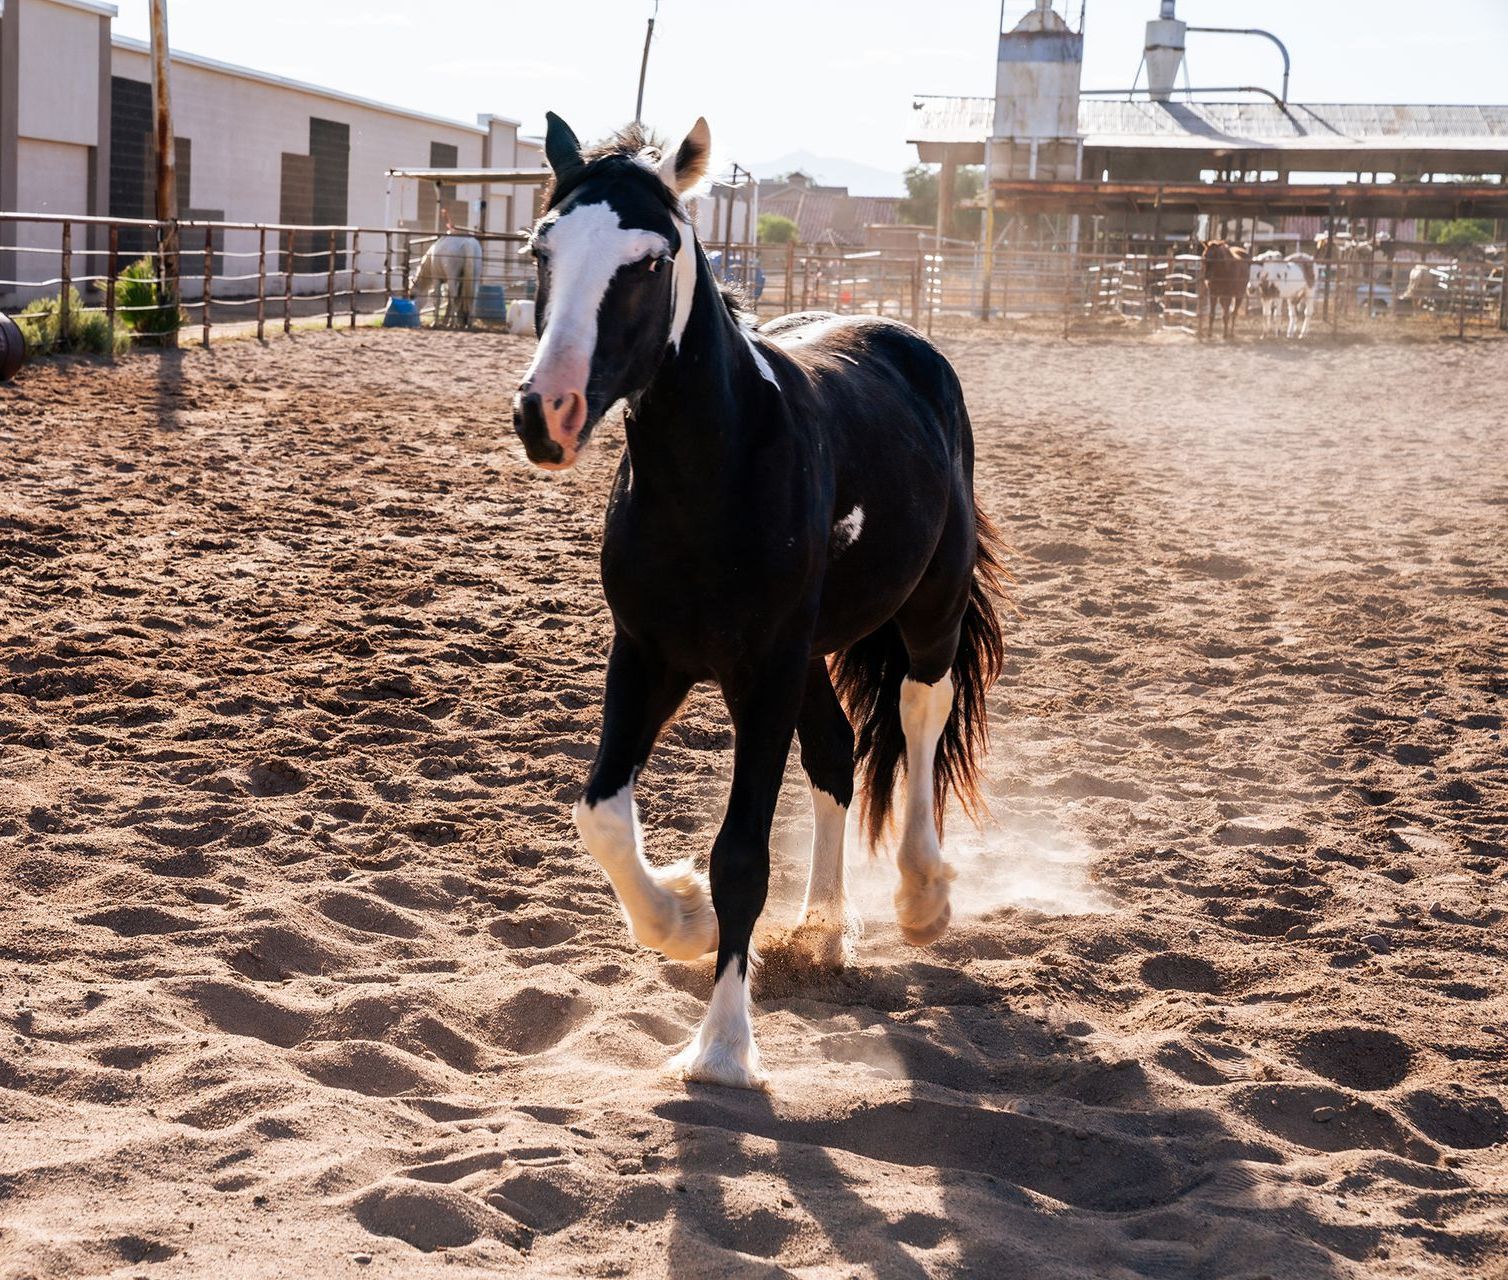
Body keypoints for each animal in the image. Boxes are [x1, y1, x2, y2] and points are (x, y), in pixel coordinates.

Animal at [511, 113, 1007, 1088]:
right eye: (543, 247)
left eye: (650, 260)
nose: (547, 412)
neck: (717, 472)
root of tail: (904, 342)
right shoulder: (648, 656)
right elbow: (601, 815)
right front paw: (680, 918)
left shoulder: (763, 672)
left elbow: (740, 855)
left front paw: (723, 1048)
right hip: (811, 655)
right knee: (838, 754)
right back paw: (821, 933)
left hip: (926, 614)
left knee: (918, 718)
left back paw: (922, 896)